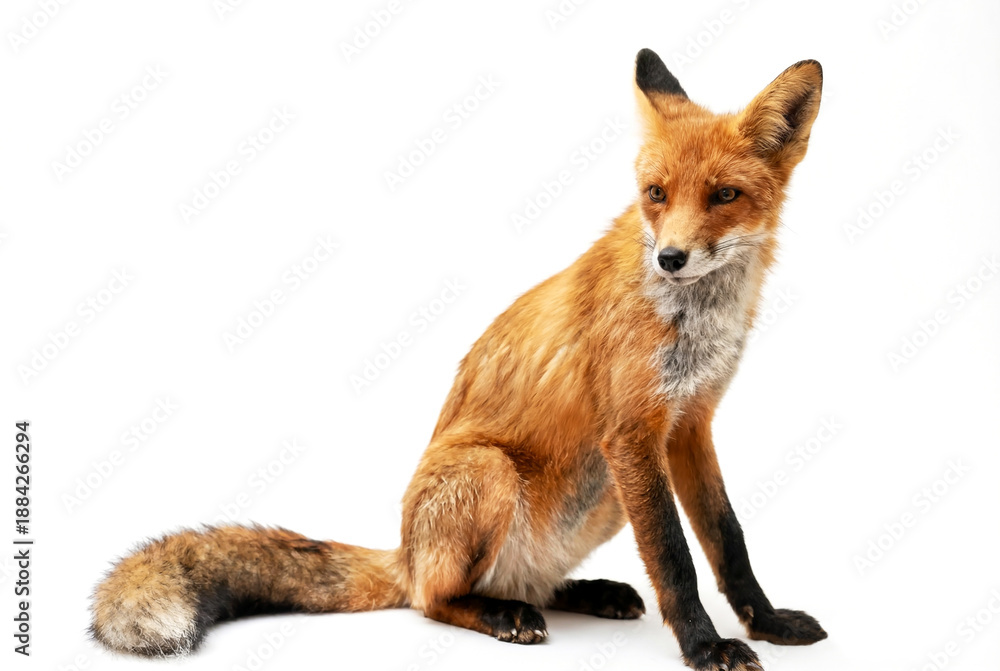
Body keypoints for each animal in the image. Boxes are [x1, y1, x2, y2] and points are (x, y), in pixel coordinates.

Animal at [92, 49, 826, 670]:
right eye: (657, 194)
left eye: (724, 195)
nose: (670, 258)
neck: (697, 318)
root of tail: (403, 552)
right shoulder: (633, 431)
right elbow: (675, 556)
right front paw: (705, 647)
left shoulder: (689, 425)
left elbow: (727, 540)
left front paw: (765, 623)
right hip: (491, 470)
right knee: (434, 599)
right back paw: (501, 613)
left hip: (602, 498)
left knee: (530, 580)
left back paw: (583, 591)